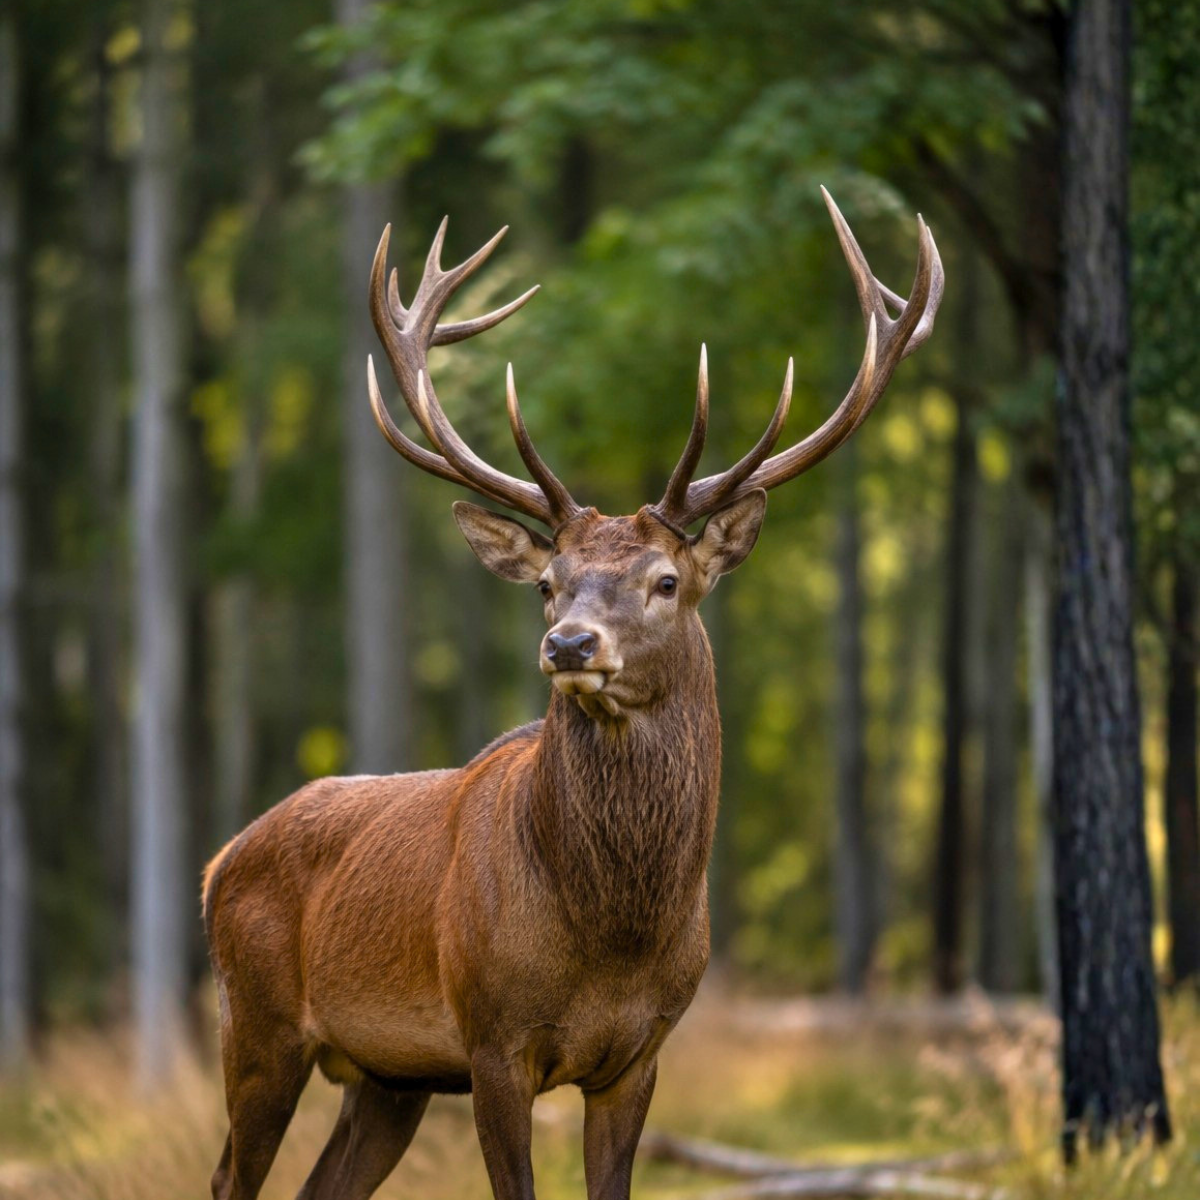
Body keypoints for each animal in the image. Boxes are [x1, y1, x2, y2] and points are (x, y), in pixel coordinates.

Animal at [202, 188, 942, 1200]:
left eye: (666, 581)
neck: (611, 942)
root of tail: (217, 863)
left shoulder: (640, 1056)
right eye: (548, 584)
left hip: (388, 1077)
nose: (567, 644)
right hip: (257, 1026)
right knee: (229, 1177)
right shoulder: (492, 1043)